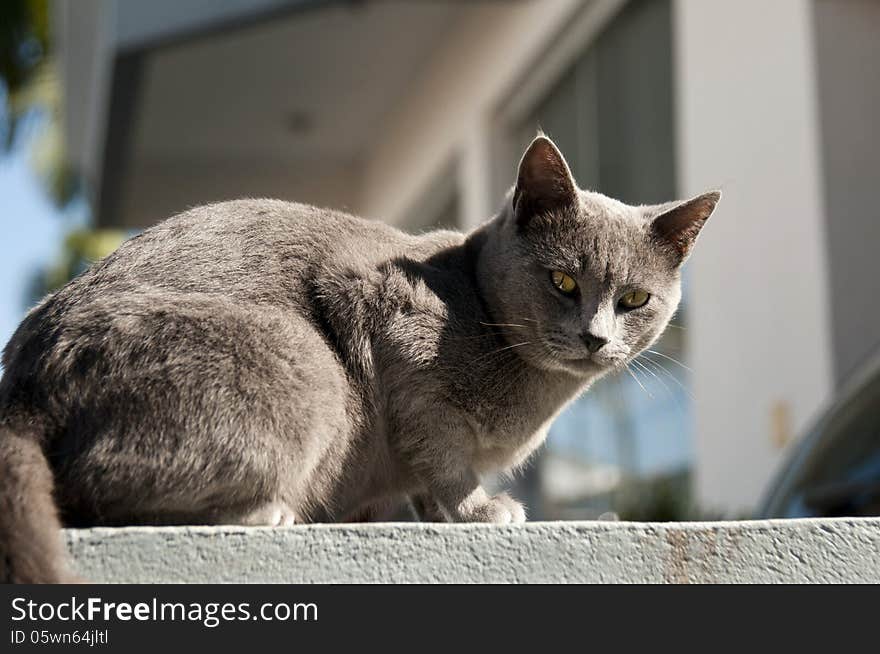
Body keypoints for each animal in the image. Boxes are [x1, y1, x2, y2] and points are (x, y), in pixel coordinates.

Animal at [0, 135, 716, 584]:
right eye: (564, 281)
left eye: (634, 298)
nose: (597, 337)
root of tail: (23, 385)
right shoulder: (386, 317)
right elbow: (441, 453)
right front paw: (480, 510)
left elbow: (425, 478)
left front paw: (436, 512)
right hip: (306, 363)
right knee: (97, 486)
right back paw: (265, 512)